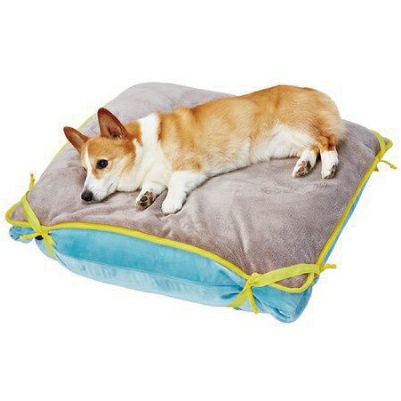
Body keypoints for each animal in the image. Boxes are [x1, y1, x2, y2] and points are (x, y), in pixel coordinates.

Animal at [64, 85, 344, 214]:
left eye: (102, 163)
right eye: (84, 170)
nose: (84, 197)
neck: (146, 148)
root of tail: (315, 92)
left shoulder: (190, 167)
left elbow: (175, 183)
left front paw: (169, 203)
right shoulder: (155, 177)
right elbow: (152, 186)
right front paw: (145, 197)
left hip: (297, 127)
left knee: (326, 141)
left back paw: (329, 167)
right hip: (285, 145)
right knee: (312, 148)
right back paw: (303, 166)